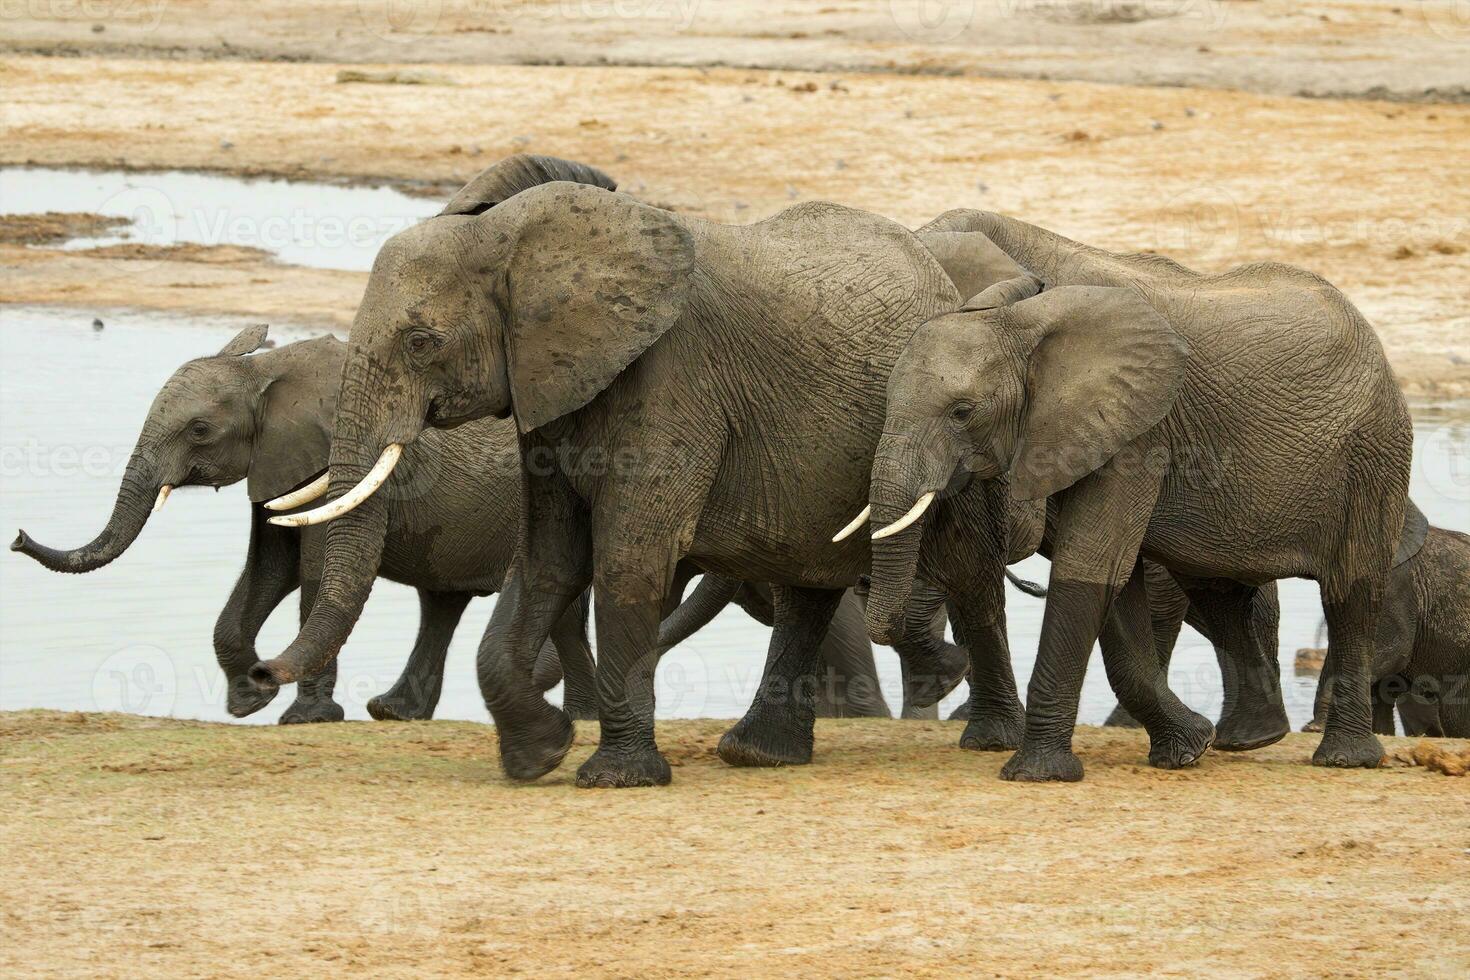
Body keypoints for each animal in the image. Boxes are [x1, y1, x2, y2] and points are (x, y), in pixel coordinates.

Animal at [858, 208, 1411, 781]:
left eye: (962, 412)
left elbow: (1090, 563)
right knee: (1218, 589)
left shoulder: (1136, 430)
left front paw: (1036, 773)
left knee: (1349, 593)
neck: (1019, 316)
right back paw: (1249, 738)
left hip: (1372, 453)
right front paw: (1187, 749)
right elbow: (1114, 584)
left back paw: (1344, 758)